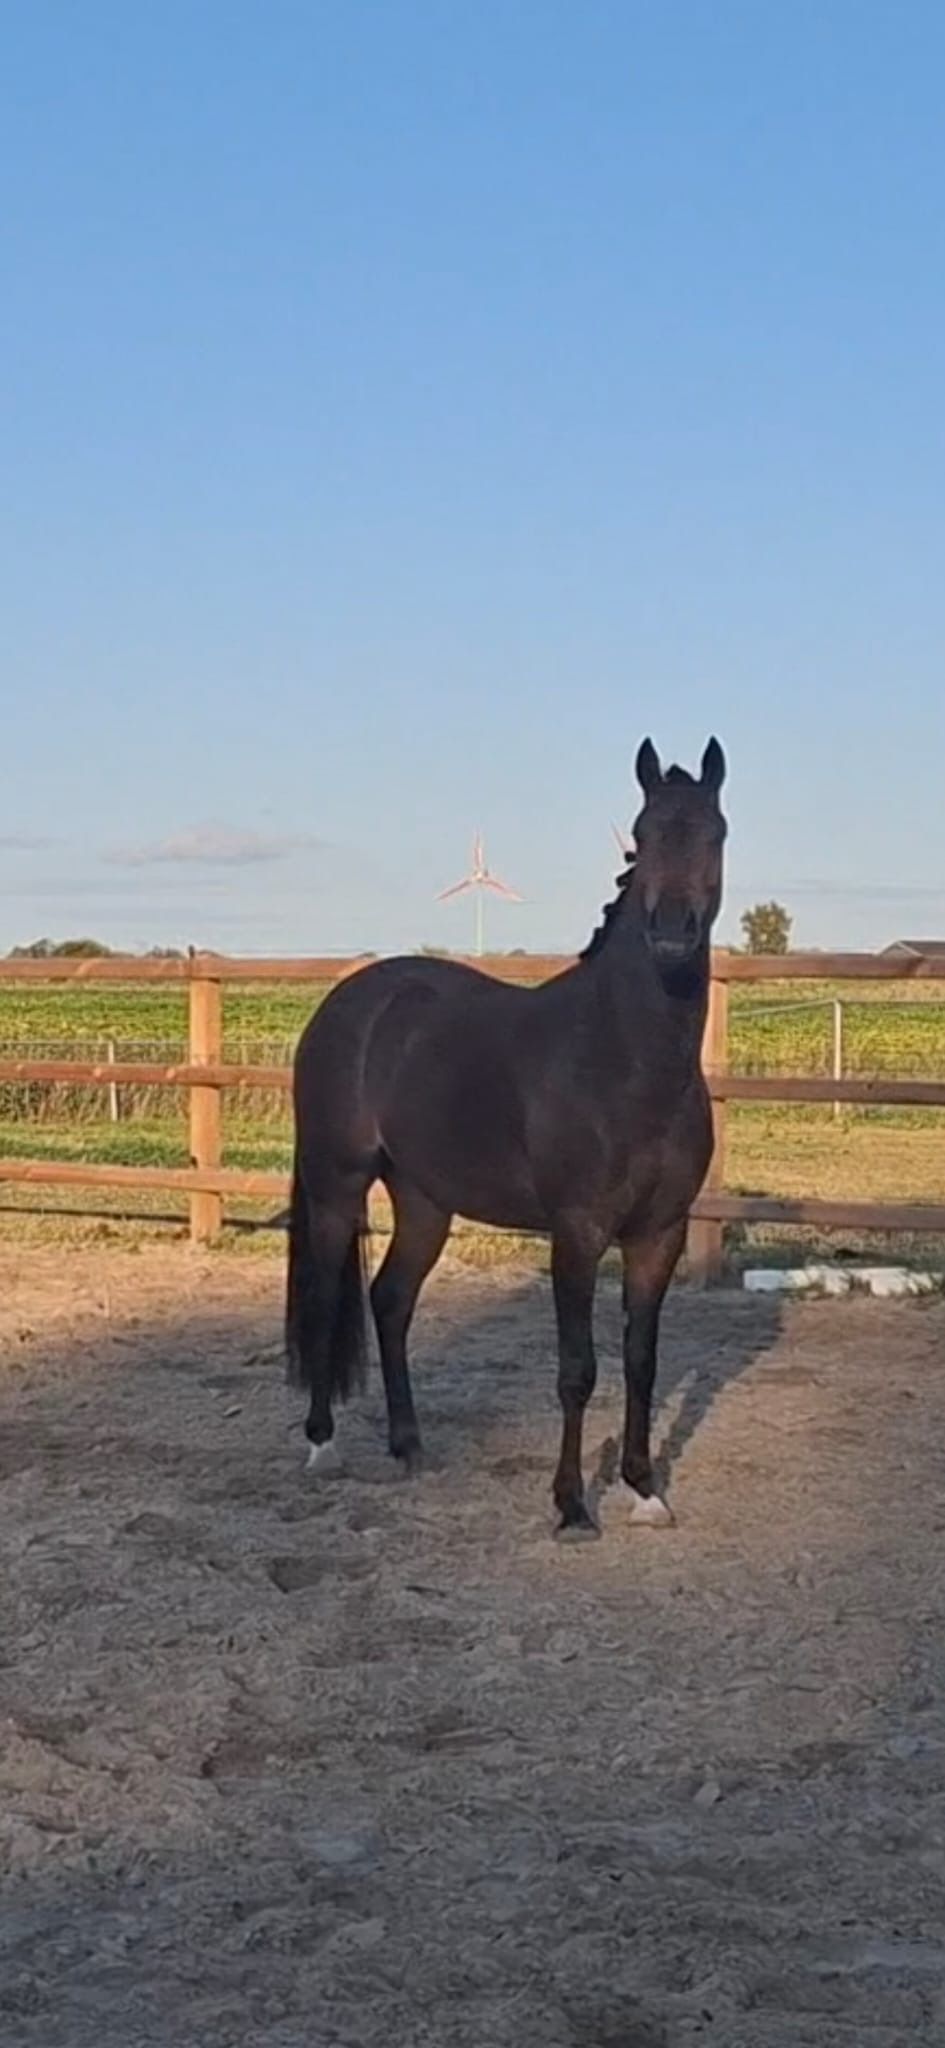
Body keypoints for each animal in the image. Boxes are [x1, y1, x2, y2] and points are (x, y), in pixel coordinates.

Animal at [286, 736, 727, 1537]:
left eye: (714, 833)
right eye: (643, 835)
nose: (672, 933)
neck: (624, 1058)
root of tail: (351, 1000)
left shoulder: (660, 1234)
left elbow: (640, 1362)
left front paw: (644, 1488)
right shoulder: (577, 1233)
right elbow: (578, 1370)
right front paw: (572, 1505)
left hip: (424, 1200)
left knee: (390, 1300)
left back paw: (408, 1444)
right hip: (337, 1187)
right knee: (325, 1296)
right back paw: (323, 1446)